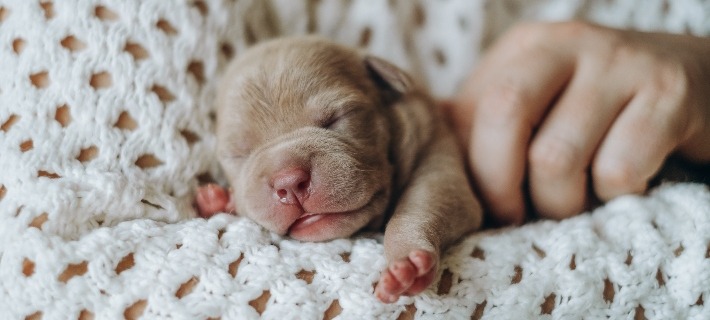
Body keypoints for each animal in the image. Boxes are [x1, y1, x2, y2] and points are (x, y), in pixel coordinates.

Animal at [195, 36, 484, 304]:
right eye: (239, 154)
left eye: (336, 119)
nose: (289, 182)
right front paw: (219, 199)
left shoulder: (437, 158)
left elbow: (422, 205)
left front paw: (407, 261)